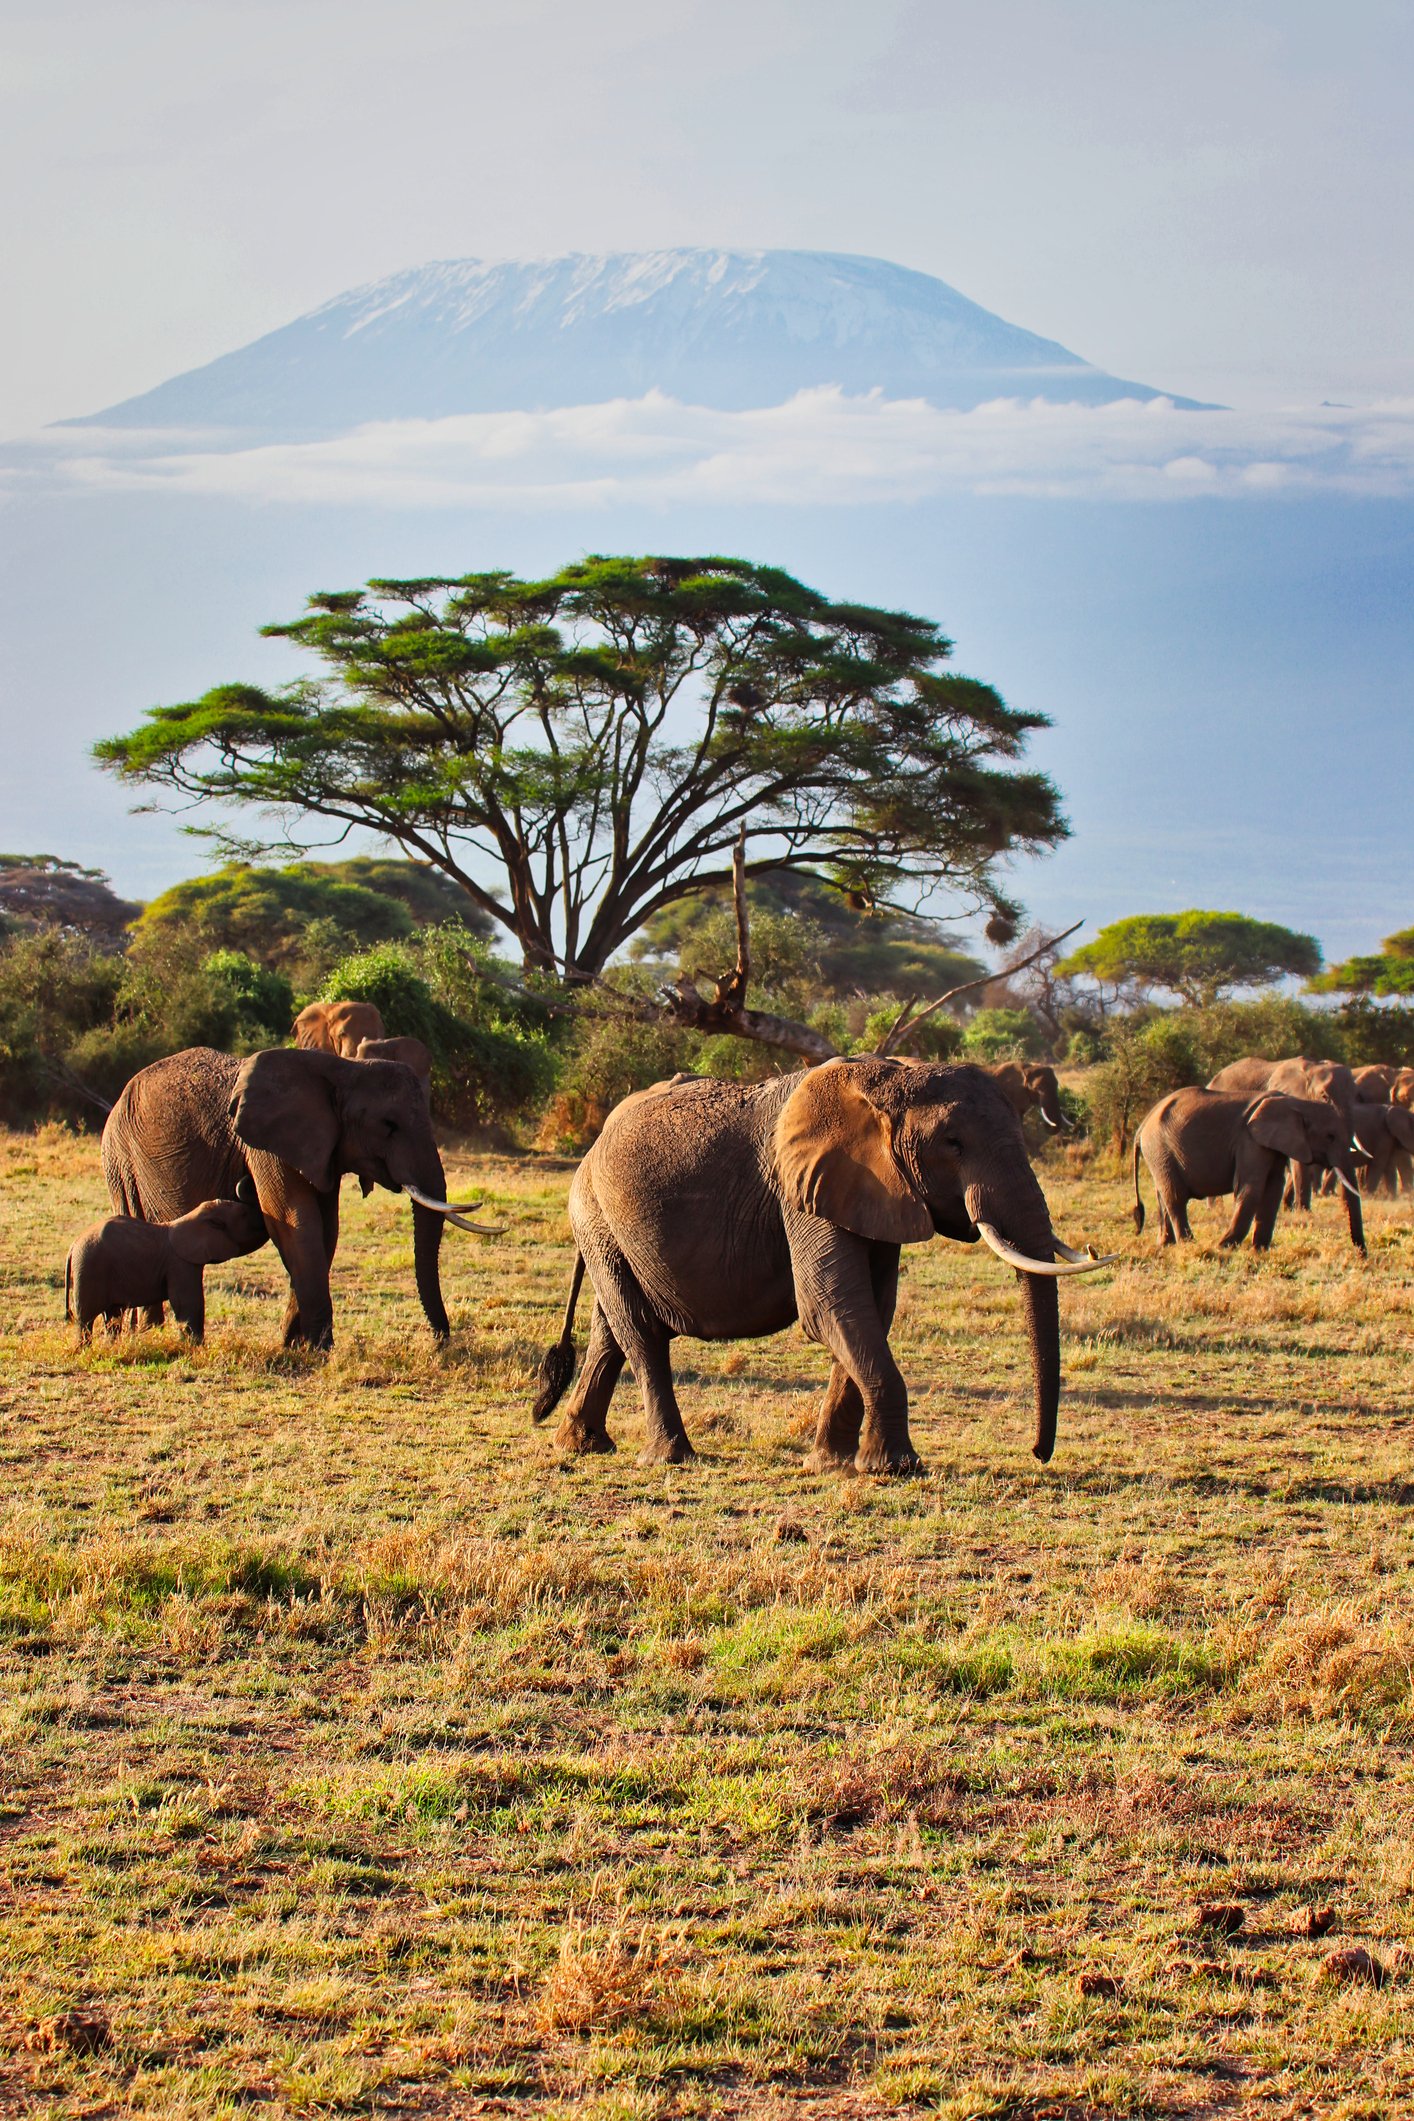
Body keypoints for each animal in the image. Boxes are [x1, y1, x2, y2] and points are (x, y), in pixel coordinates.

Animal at [66, 1192, 267, 1342]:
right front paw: (194, 1348)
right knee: (86, 1319)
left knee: (112, 1317)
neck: (193, 1217)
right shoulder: (180, 1264)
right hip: (89, 1269)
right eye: (244, 1214)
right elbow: (188, 1302)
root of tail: (73, 1245)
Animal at [101, 1046, 497, 1348]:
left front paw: (295, 1346)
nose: (440, 1342)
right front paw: (321, 1348)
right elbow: (297, 1223)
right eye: (389, 1125)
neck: (341, 1070)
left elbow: (325, 1231)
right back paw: (147, 1335)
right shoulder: (269, 1147)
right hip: (120, 1158)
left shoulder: (324, 1149)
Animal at [532, 1058, 1113, 1475]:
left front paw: (832, 1465)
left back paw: (580, 1446)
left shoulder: (873, 1191)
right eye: (953, 1144)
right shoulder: (804, 1190)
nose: (1038, 1454)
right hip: (594, 1213)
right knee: (640, 1331)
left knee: (611, 1329)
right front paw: (895, 1468)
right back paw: (669, 1458)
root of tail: (594, 1143)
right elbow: (830, 1306)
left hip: (608, 1228)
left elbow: (869, 1309)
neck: (888, 1079)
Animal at [1133, 1088, 1363, 1251]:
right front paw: (1224, 1246)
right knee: (1175, 1196)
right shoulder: (1250, 1140)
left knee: (1163, 1196)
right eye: (1330, 1136)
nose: (1361, 1254)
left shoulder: (1273, 1144)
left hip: (1159, 1156)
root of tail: (1142, 1125)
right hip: (1159, 1148)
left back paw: (1165, 1244)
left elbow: (1273, 1188)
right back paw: (1189, 1244)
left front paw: (1259, 1250)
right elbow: (1251, 1187)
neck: (1296, 1103)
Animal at [1207, 1056, 1363, 1243]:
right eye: (1325, 1097)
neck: (1311, 1069)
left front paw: (1290, 1208)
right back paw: (1215, 1209)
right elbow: (1300, 1164)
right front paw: (1304, 1212)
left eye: (1355, 1096)